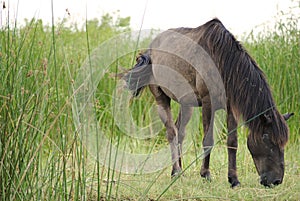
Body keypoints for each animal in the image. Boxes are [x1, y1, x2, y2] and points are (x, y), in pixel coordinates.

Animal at [121, 18, 292, 188]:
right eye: (267, 138)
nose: (276, 181)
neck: (221, 60)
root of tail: (150, 49)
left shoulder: (230, 107)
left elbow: (232, 142)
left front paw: (234, 179)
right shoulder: (208, 102)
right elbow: (208, 140)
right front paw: (205, 174)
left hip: (186, 103)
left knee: (179, 132)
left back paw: (179, 171)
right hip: (161, 98)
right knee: (171, 132)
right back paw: (176, 172)